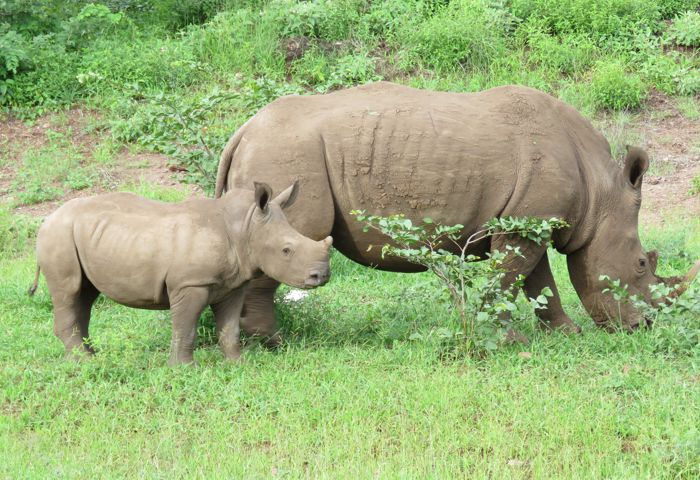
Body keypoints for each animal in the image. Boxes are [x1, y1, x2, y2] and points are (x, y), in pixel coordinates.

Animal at [30, 182, 332, 365]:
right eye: (286, 250)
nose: (321, 276)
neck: (245, 227)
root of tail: (47, 219)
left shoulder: (234, 284)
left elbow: (230, 327)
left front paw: (237, 362)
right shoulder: (190, 283)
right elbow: (186, 326)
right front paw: (184, 368)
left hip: (79, 236)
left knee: (85, 295)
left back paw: (94, 355)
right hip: (58, 236)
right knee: (68, 292)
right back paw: (82, 362)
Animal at [216, 82, 699, 342]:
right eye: (641, 264)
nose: (643, 327)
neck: (601, 192)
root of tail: (242, 131)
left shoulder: (531, 221)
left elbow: (538, 282)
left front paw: (565, 333)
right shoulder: (527, 223)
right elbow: (510, 278)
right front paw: (510, 339)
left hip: (276, 151)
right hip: (288, 155)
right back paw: (273, 341)